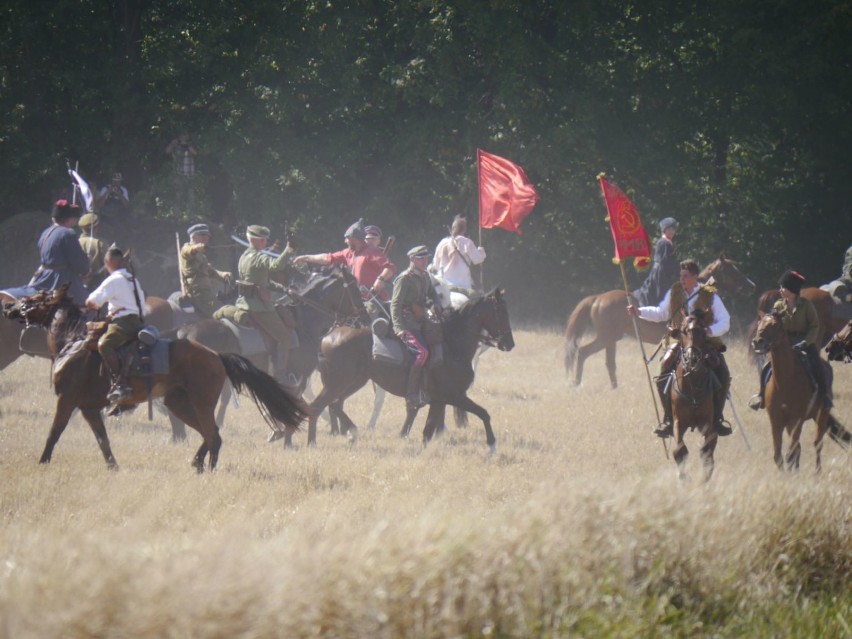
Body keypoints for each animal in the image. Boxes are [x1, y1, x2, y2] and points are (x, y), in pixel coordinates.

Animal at [2, 288, 310, 472]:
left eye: (37, 298)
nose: (9, 308)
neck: (73, 342)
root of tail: (217, 356)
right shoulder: (89, 408)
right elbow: (103, 440)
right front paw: (113, 467)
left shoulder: (67, 400)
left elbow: (54, 432)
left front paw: (42, 462)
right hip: (179, 403)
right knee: (209, 433)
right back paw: (198, 464)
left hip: (198, 403)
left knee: (212, 433)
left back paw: (206, 467)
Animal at [290, 288, 516, 452]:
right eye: (501, 312)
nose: (509, 343)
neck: (452, 344)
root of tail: (328, 336)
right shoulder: (454, 395)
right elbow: (483, 413)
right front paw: (492, 446)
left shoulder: (440, 400)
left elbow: (428, 430)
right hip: (338, 383)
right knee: (317, 407)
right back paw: (311, 443)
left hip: (354, 381)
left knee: (334, 405)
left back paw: (349, 433)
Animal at [564, 252, 756, 388]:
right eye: (731, 270)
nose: (751, 286)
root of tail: (597, 298)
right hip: (607, 337)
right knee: (584, 353)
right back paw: (578, 383)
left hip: (611, 339)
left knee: (608, 362)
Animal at [672, 312, 720, 482]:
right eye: (683, 331)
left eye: (702, 331)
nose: (691, 359)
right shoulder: (678, 422)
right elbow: (679, 450)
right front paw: (684, 477)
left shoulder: (707, 423)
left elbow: (706, 452)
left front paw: (703, 480)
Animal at [752, 312, 844, 472]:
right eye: (759, 324)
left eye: (775, 325)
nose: (757, 341)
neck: (785, 381)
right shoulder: (776, 420)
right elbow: (778, 455)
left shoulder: (797, 419)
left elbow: (790, 452)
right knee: (799, 447)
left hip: (821, 415)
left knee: (817, 443)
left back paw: (817, 472)